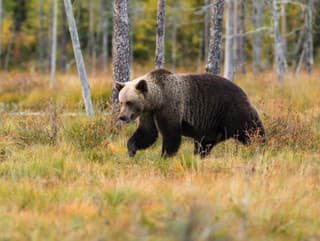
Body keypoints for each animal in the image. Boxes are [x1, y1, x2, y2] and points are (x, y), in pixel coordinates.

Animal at [115, 68, 264, 158]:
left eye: (129, 102)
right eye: (121, 102)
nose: (122, 117)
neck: (157, 100)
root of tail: (243, 91)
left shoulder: (170, 107)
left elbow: (171, 135)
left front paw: (165, 156)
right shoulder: (149, 114)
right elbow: (147, 133)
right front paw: (131, 150)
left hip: (232, 111)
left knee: (251, 130)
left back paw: (261, 146)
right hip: (212, 125)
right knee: (204, 144)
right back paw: (200, 156)